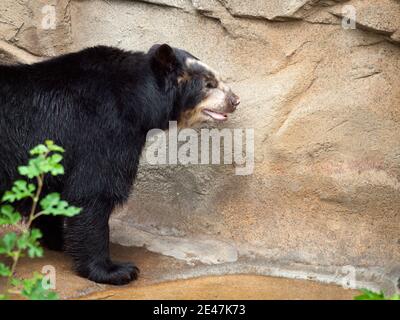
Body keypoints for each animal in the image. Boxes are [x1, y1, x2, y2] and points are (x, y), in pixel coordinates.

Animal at [0, 43, 239, 284]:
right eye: (209, 84)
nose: (235, 100)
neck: (137, 100)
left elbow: (49, 192)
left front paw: (58, 240)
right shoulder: (103, 129)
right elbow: (94, 191)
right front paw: (115, 270)